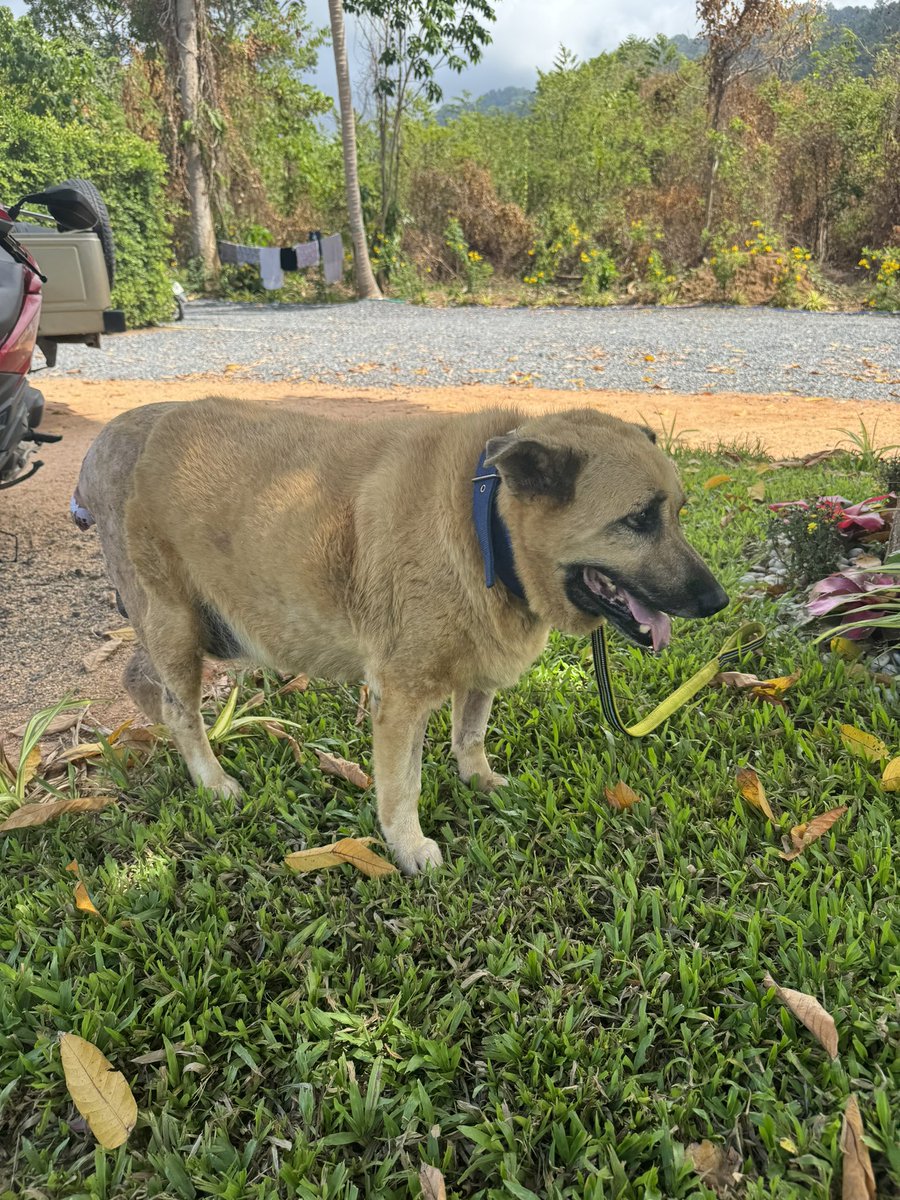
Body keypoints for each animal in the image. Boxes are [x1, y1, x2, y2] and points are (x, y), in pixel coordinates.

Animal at [74, 400, 729, 873]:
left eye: (679, 512)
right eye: (638, 519)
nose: (718, 601)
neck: (485, 523)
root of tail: (107, 440)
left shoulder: (478, 670)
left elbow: (470, 735)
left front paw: (480, 781)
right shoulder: (402, 698)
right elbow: (401, 786)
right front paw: (408, 848)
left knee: (143, 682)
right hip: (178, 625)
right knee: (179, 710)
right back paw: (211, 780)